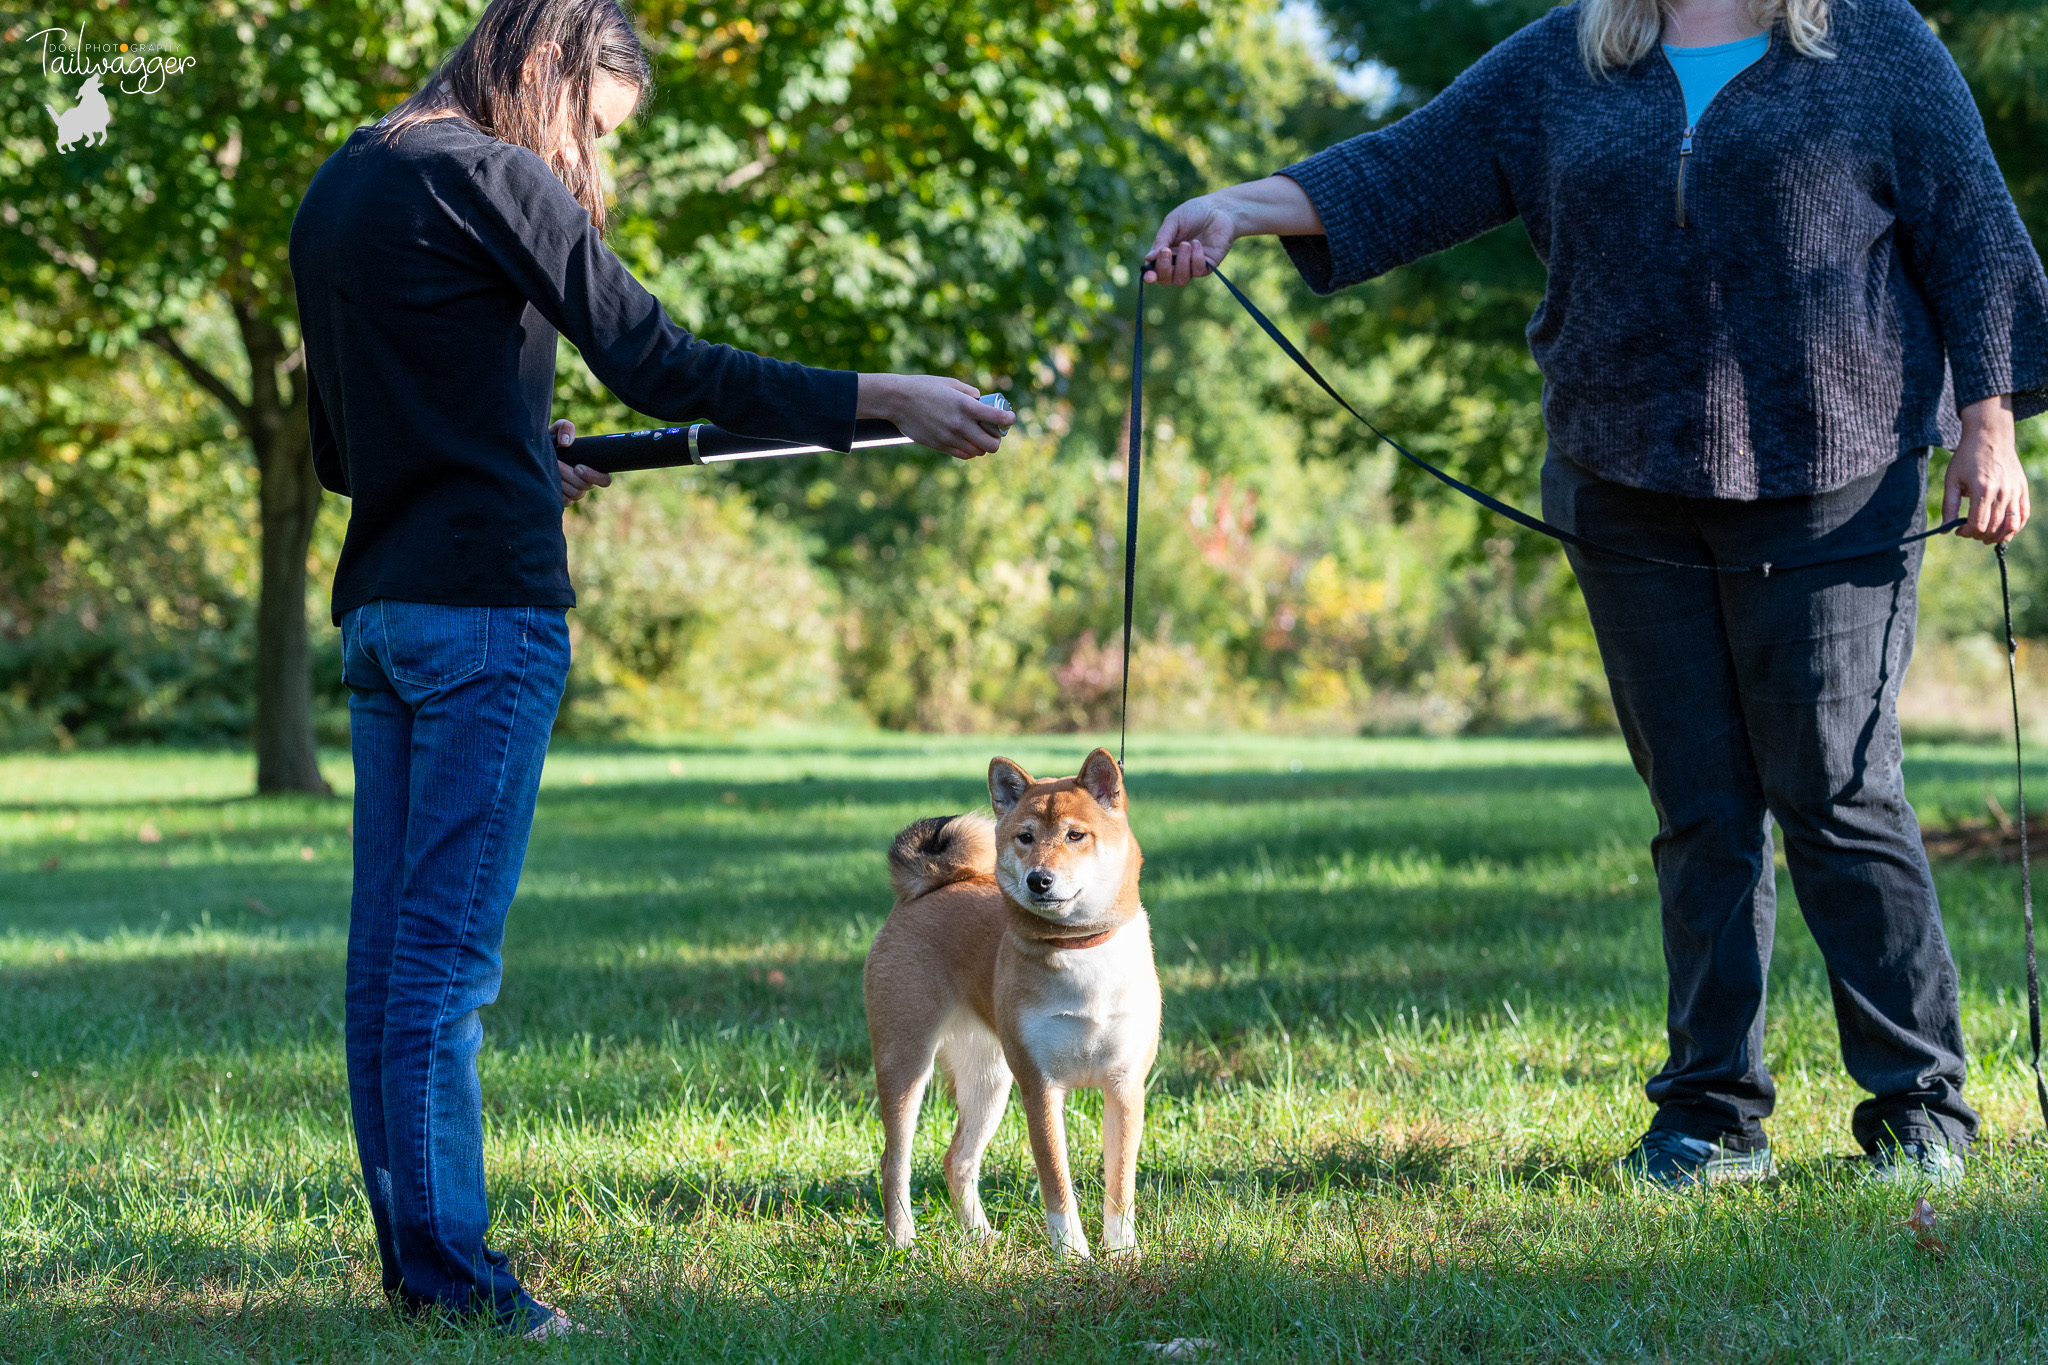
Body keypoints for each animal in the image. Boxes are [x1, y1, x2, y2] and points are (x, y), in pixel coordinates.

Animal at [860, 749, 1163, 1260]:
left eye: (1075, 835)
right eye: (1025, 837)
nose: (1038, 879)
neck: (1078, 947)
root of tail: (928, 889)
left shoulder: (1124, 1088)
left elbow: (1120, 1186)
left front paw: (1122, 1254)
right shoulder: (1041, 1089)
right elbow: (1057, 1184)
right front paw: (1073, 1256)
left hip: (989, 1080)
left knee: (958, 1159)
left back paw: (980, 1237)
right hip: (907, 1064)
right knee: (894, 1161)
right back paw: (903, 1241)